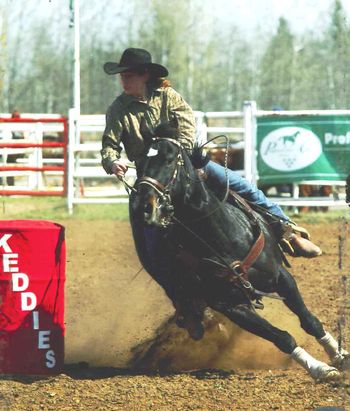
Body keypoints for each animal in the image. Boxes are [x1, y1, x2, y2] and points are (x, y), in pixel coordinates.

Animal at [133, 137, 348, 382]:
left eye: (169, 160)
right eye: (137, 165)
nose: (144, 208)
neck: (220, 235)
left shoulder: (281, 277)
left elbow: (309, 321)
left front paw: (339, 354)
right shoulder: (230, 305)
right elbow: (282, 338)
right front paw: (319, 368)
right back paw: (193, 322)